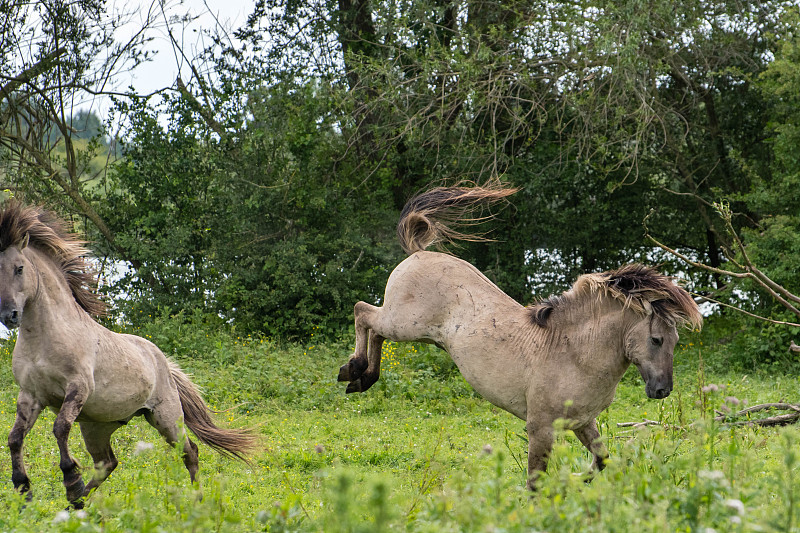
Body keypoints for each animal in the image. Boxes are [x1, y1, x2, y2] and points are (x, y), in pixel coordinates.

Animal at [0, 201, 256, 508]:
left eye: (19, 268)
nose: (9, 316)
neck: (45, 338)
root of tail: (163, 362)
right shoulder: (30, 395)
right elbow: (14, 438)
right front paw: (23, 489)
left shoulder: (78, 387)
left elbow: (59, 428)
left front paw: (71, 480)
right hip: (96, 427)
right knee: (108, 463)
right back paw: (78, 505)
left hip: (166, 418)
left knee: (190, 452)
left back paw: (196, 501)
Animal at [338, 184, 700, 486]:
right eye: (656, 339)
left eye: (675, 341)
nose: (662, 390)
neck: (574, 355)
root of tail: (419, 253)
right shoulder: (540, 428)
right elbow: (535, 481)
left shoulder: (583, 423)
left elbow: (602, 460)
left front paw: (577, 480)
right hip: (403, 323)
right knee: (363, 312)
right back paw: (353, 372)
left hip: (412, 331)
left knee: (372, 329)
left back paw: (362, 379)